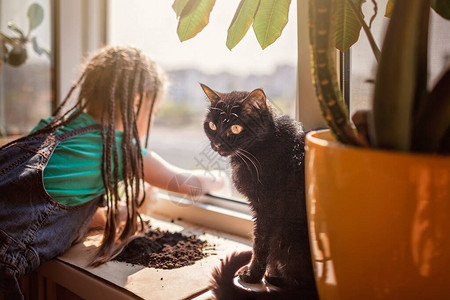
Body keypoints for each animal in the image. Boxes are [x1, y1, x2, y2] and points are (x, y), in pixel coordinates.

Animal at [202, 83, 318, 298]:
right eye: (212, 126)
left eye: (235, 128)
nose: (217, 144)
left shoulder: (267, 210)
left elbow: (260, 243)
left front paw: (252, 275)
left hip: (288, 235)